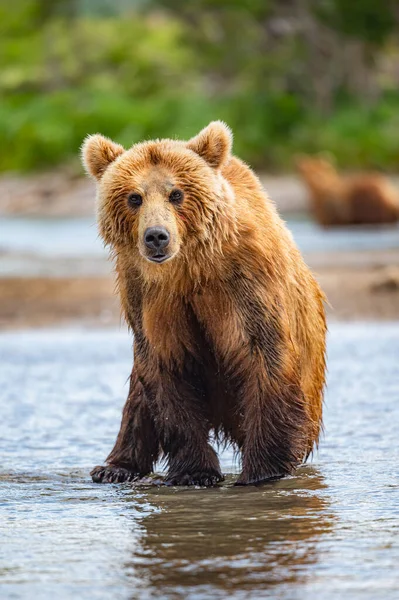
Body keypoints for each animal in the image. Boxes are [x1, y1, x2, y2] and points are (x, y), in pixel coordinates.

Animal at [82, 122, 328, 488]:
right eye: (134, 197)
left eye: (176, 193)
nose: (156, 236)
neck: (188, 269)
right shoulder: (148, 297)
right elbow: (168, 369)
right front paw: (194, 472)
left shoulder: (247, 285)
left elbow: (264, 357)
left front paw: (261, 471)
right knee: (137, 400)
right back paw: (114, 467)